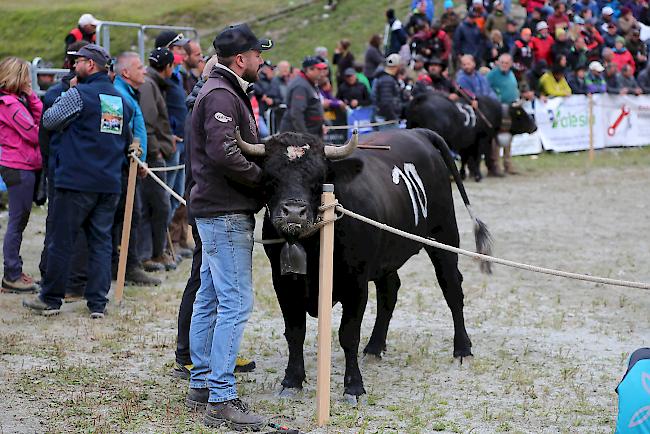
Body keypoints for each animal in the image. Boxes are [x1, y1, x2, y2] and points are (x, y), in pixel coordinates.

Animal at [233, 127, 492, 402]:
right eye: (270, 177)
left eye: (319, 178)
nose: (293, 212)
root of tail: (416, 131)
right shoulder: (283, 283)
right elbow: (294, 332)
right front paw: (292, 380)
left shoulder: (355, 283)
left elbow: (348, 334)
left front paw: (353, 386)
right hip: (388, 254)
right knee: (390, 292)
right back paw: (375, 346)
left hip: (443, 235)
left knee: (452, 288)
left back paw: (462, 349)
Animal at [404, 90, 536, 181]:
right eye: (522, 113)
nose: (535, 126)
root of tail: (422, 98)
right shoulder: (482, 140)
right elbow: (477, 158)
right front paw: (478, 175)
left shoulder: (466, 142)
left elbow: (465, 158)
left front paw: (463, 174)